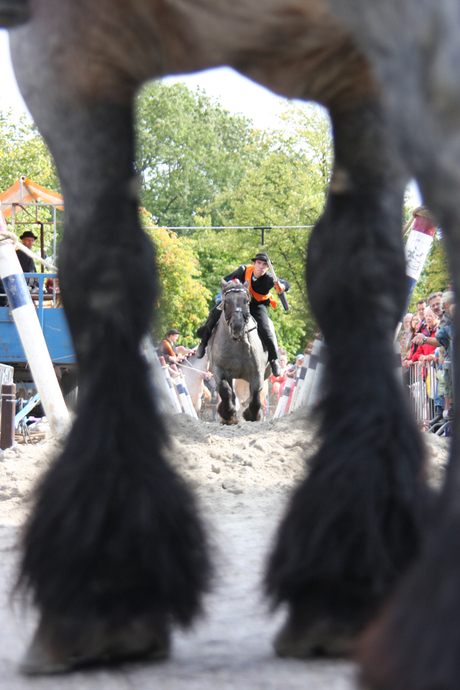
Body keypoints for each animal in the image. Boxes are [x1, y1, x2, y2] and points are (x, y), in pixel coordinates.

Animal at [207, 278, 268, 420]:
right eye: (226, 302)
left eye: (246, 301)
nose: (237, 326)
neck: (238, 344)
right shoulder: (219, 370)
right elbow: (225, 391)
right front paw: (227, 413)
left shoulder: (257, 373)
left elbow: (255, 397)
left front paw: (251, 415)